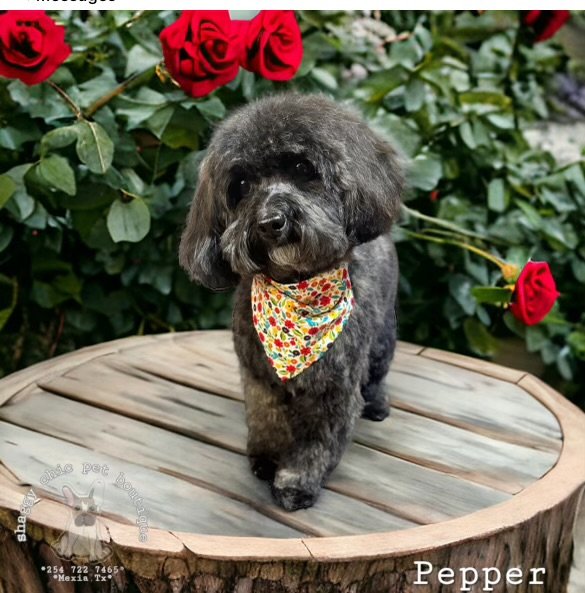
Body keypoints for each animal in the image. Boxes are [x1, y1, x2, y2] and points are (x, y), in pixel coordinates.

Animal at [179, 93, 403, 511]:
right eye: (241, 185)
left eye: (302, 168)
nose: (270, 222)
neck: (295, 291)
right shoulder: (258, 377)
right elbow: (267, 419)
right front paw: (267, 458)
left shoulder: (333, 391)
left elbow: (316, 443)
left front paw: (296, 481)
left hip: (384, 334)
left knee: (378, 371)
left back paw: (378, 404)